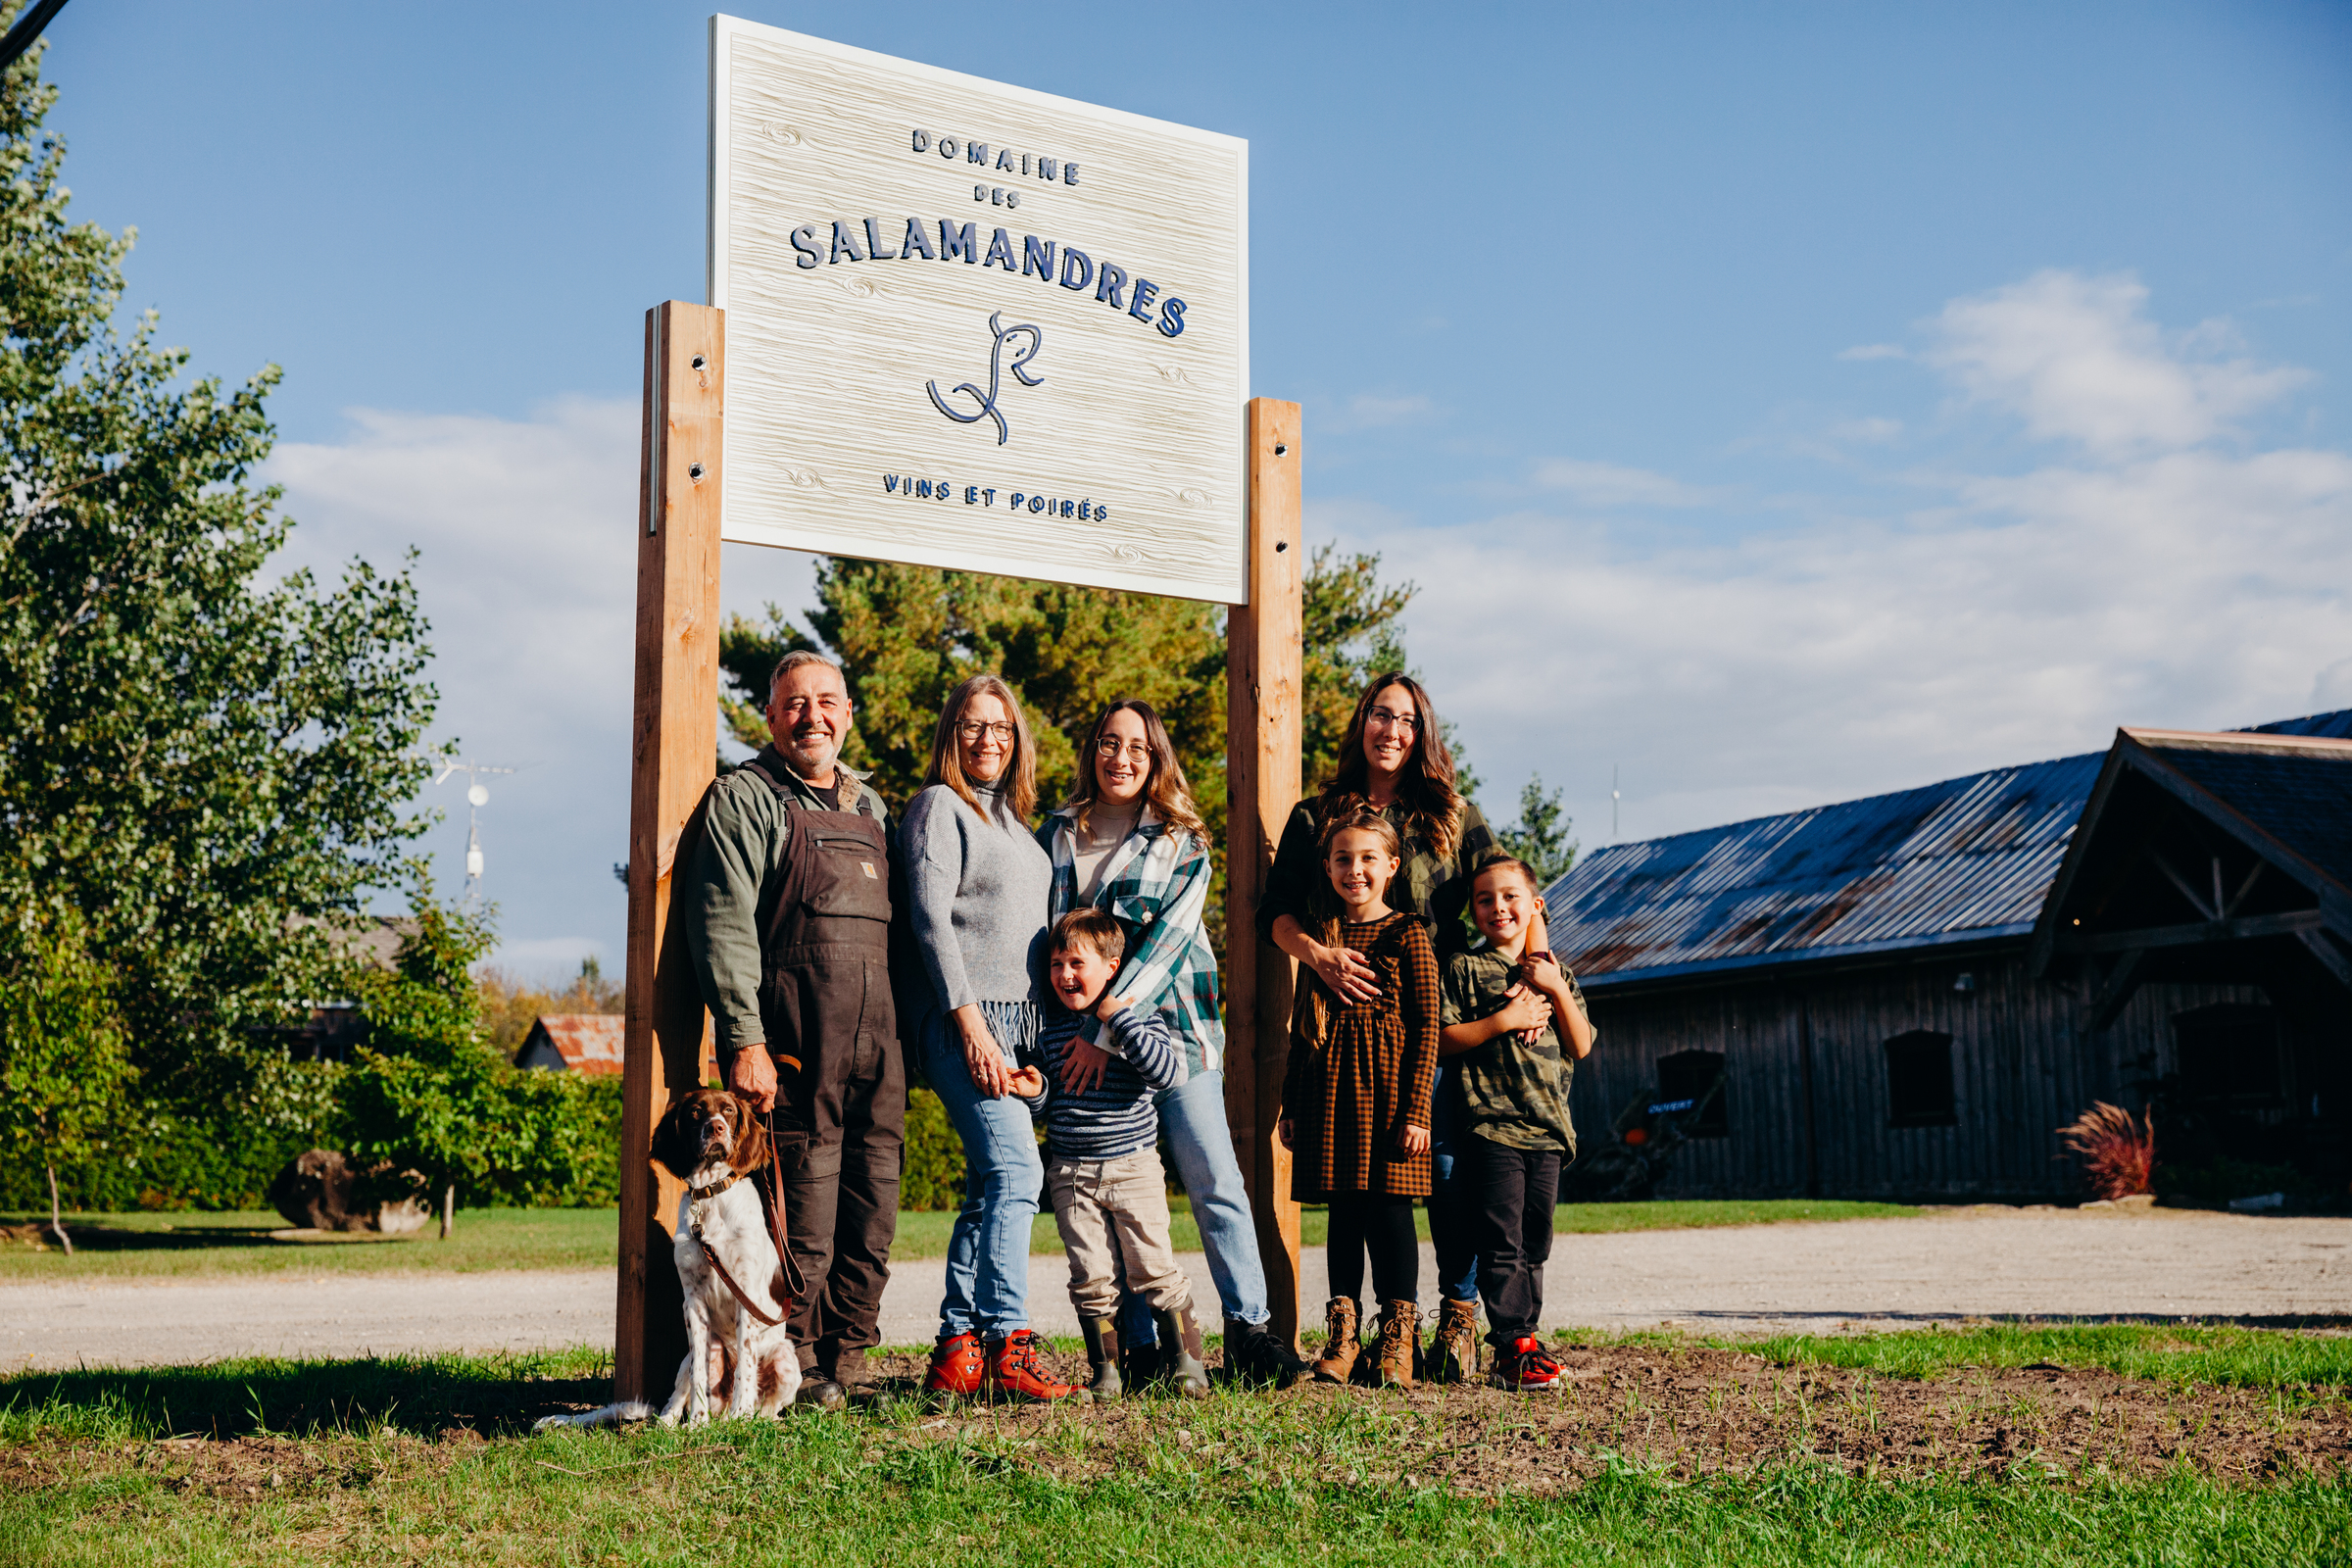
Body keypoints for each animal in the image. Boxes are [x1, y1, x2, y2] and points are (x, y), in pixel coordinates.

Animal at [538, 1091, 804, 1439]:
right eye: (696, 1112)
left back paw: (752, 1418)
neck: (709, 1199)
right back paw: (670, 1423)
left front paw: (740, 1417)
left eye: (729, 1110)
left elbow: (746, 1366)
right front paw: (698, 1423)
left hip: (786, 1356)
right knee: (677, 1397)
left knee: (768, 1404)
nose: (716, 1128)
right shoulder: (693, 1301)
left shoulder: (746, 1296)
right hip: (698, 1352)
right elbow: (698, 1377)